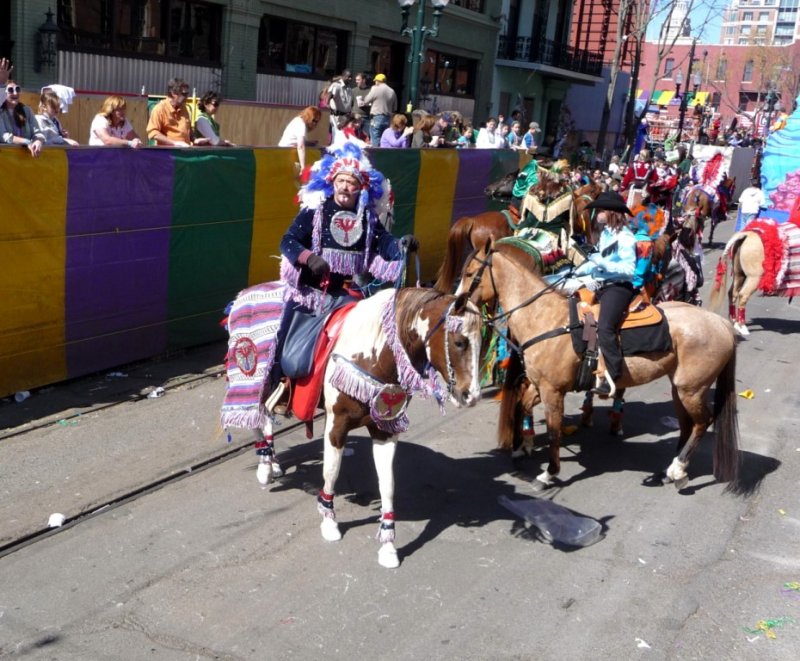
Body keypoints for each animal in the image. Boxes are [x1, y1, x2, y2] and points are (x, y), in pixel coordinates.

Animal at [460, 241, 740, 490]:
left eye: (470, 274)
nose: (458, 305)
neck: (545, 319)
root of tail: (721, 324)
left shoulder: (553, 390)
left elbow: (553, 432)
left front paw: (548, 473)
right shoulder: (540, 386)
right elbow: (524, 406)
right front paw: (522, 448)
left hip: (691, 389)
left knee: (702, 422)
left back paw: (678, 469)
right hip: (679, 388)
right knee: (686, 425)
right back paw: (670, 470)